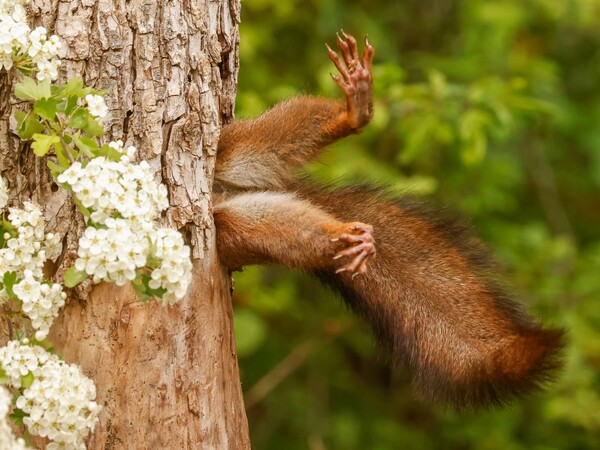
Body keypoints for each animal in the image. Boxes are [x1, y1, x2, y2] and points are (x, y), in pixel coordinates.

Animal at [213, 32, 564, 412]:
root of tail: (223, 192)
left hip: (229, 148)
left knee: (269, 138)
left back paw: (353, 113)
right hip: (232, 229)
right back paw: (345, 237)